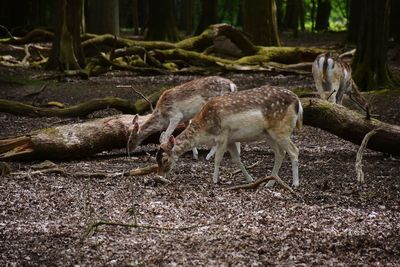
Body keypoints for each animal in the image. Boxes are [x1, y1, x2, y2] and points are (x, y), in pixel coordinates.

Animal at [156, 86, 304, 188]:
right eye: (155, 159)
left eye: (164, 159)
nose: (160, 177)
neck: (205, 130)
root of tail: (298, 101)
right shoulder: (231, 140)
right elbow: (237, 160)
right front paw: (250, 179)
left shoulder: (223, 135)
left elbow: (217, 159)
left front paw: (215, 180)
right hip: (268, 134)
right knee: (280, 153)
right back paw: (269, 183)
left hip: (281, 130)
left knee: (294, 150)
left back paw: (295, 183)